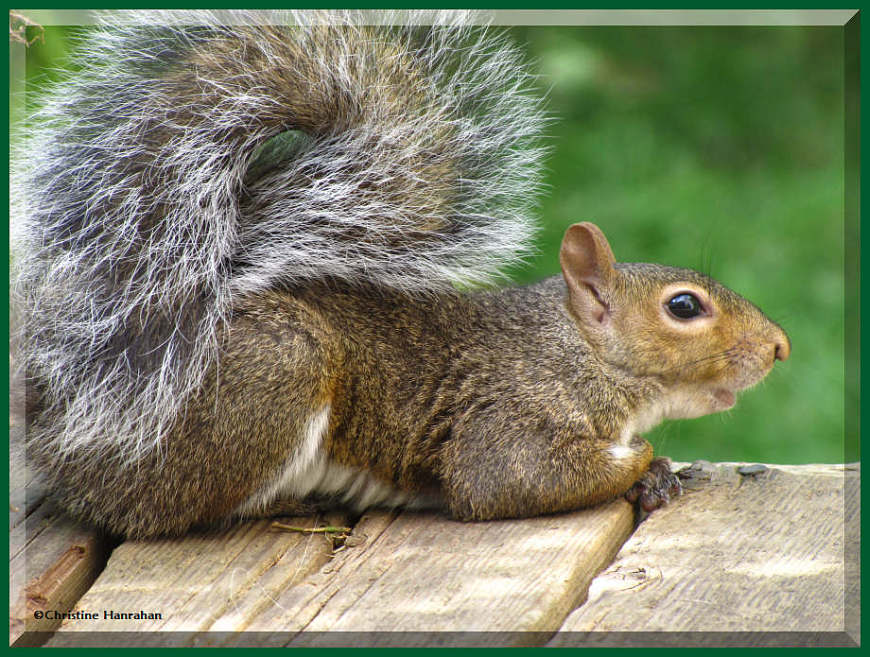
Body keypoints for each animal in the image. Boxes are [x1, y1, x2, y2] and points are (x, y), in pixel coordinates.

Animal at [13, 10, 792, 540]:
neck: (574, 350)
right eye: (684, 307)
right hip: (271, 373)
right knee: (157, 510)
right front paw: (646, 460)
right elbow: (506, 479)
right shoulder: (509, 417)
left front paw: (660, 471)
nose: (780, 347)